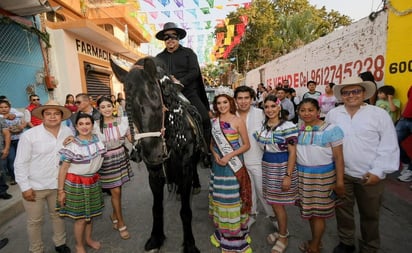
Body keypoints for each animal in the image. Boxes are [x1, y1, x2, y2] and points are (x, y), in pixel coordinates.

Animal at [110, 57, 206, 253]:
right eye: (127, 107)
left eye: (156, 99)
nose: (153, 154)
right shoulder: (154, 174)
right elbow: (156, 208)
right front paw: (156, 238)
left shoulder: (185, 171)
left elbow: (186, 211)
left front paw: (190, 243)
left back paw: (196, 184)